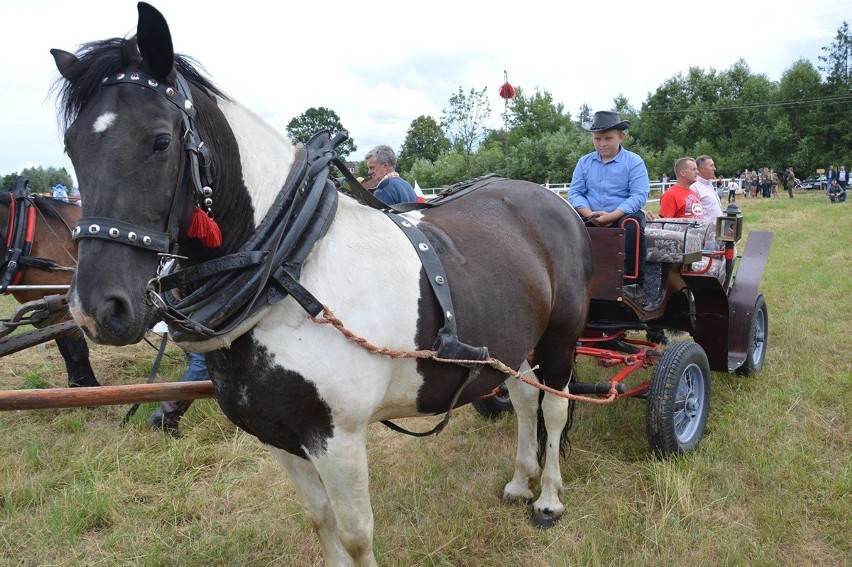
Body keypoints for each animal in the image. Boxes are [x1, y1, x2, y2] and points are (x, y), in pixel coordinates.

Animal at [0, 178, 99, 388]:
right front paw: (75, 384)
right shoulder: (51, 310)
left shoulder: (66, 309)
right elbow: (65, 349)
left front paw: (90, 386)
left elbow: (77, 350)